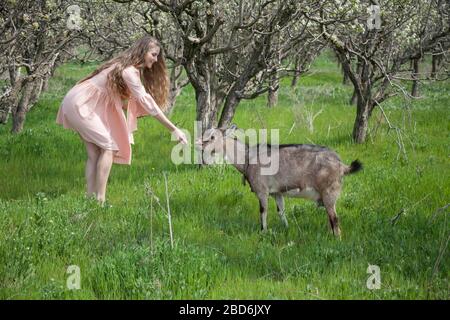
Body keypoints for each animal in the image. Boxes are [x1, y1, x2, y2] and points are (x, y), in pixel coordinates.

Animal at [196, 125, 362, 238]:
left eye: (212, 137)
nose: (198, 143)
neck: (248, 157)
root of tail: (342, 165)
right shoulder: (277, 193)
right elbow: (281, 211)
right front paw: (286, 228)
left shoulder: (262, 191)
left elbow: (263, 211)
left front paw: (263, 231)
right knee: (331, 219)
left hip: (329, 192)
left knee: (335, 219)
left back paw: (336, 239)